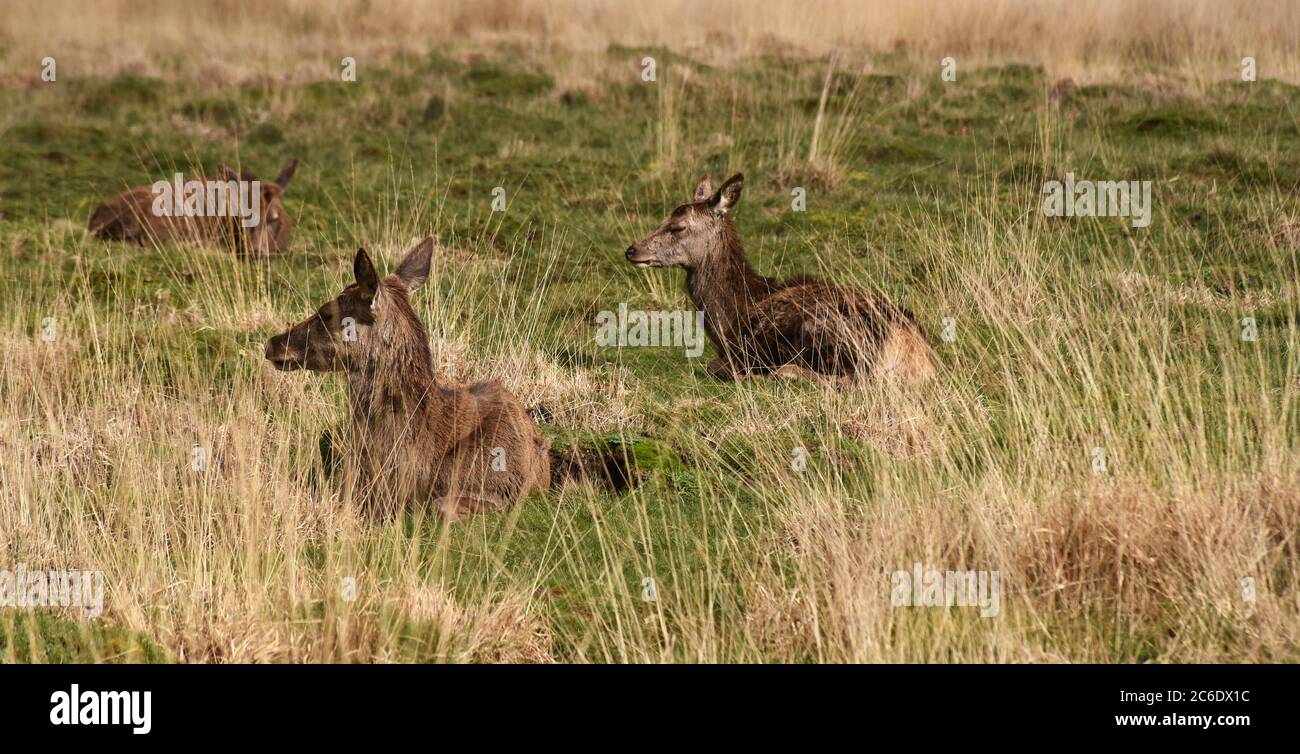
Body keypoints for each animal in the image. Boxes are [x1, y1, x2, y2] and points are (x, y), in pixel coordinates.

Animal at [626, 171, 941, 382]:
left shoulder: (742, 350)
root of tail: (914, 349)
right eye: (663, 218)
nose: (632, 250)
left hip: (833, 334)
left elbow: (713, 366)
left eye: (678, 227)